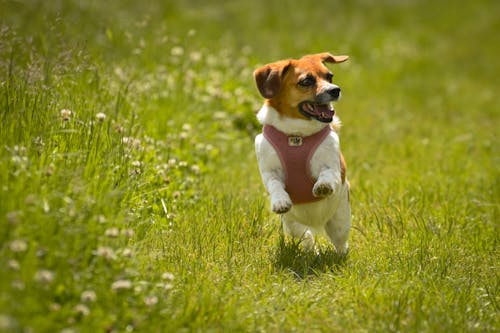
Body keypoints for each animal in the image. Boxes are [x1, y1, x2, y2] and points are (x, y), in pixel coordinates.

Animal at [254, 52, 352, 254]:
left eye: (329, 77)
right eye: (306, 81)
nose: (336, 90)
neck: (297, 135)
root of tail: (316, 223)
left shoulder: (332, 165)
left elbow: (328, 173)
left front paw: (323, 185)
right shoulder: (269, 171)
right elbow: (275, 184)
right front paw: (280, 201)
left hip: (340, 221)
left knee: (340, 243)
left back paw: (341, 254)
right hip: (292, 225)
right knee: (306, 238)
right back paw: (311, 250)